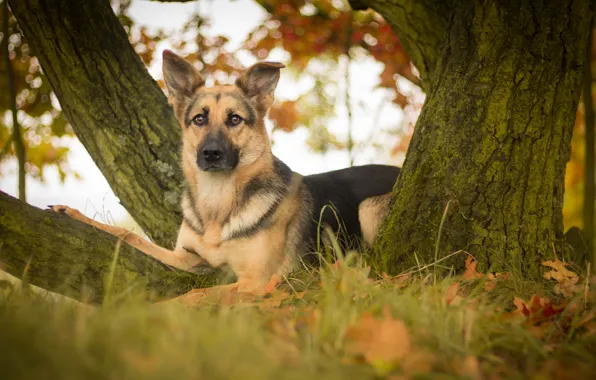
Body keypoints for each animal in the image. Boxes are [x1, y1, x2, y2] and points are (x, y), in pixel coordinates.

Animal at [53, 49, 400, 294]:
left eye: (235, 120)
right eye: (199, 119)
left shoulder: (256, 281)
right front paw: (73, 214)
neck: (218, 203)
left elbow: (199, 295)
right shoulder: (184, 259)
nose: (211, 154)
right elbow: (129, 235)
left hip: (369, 209)